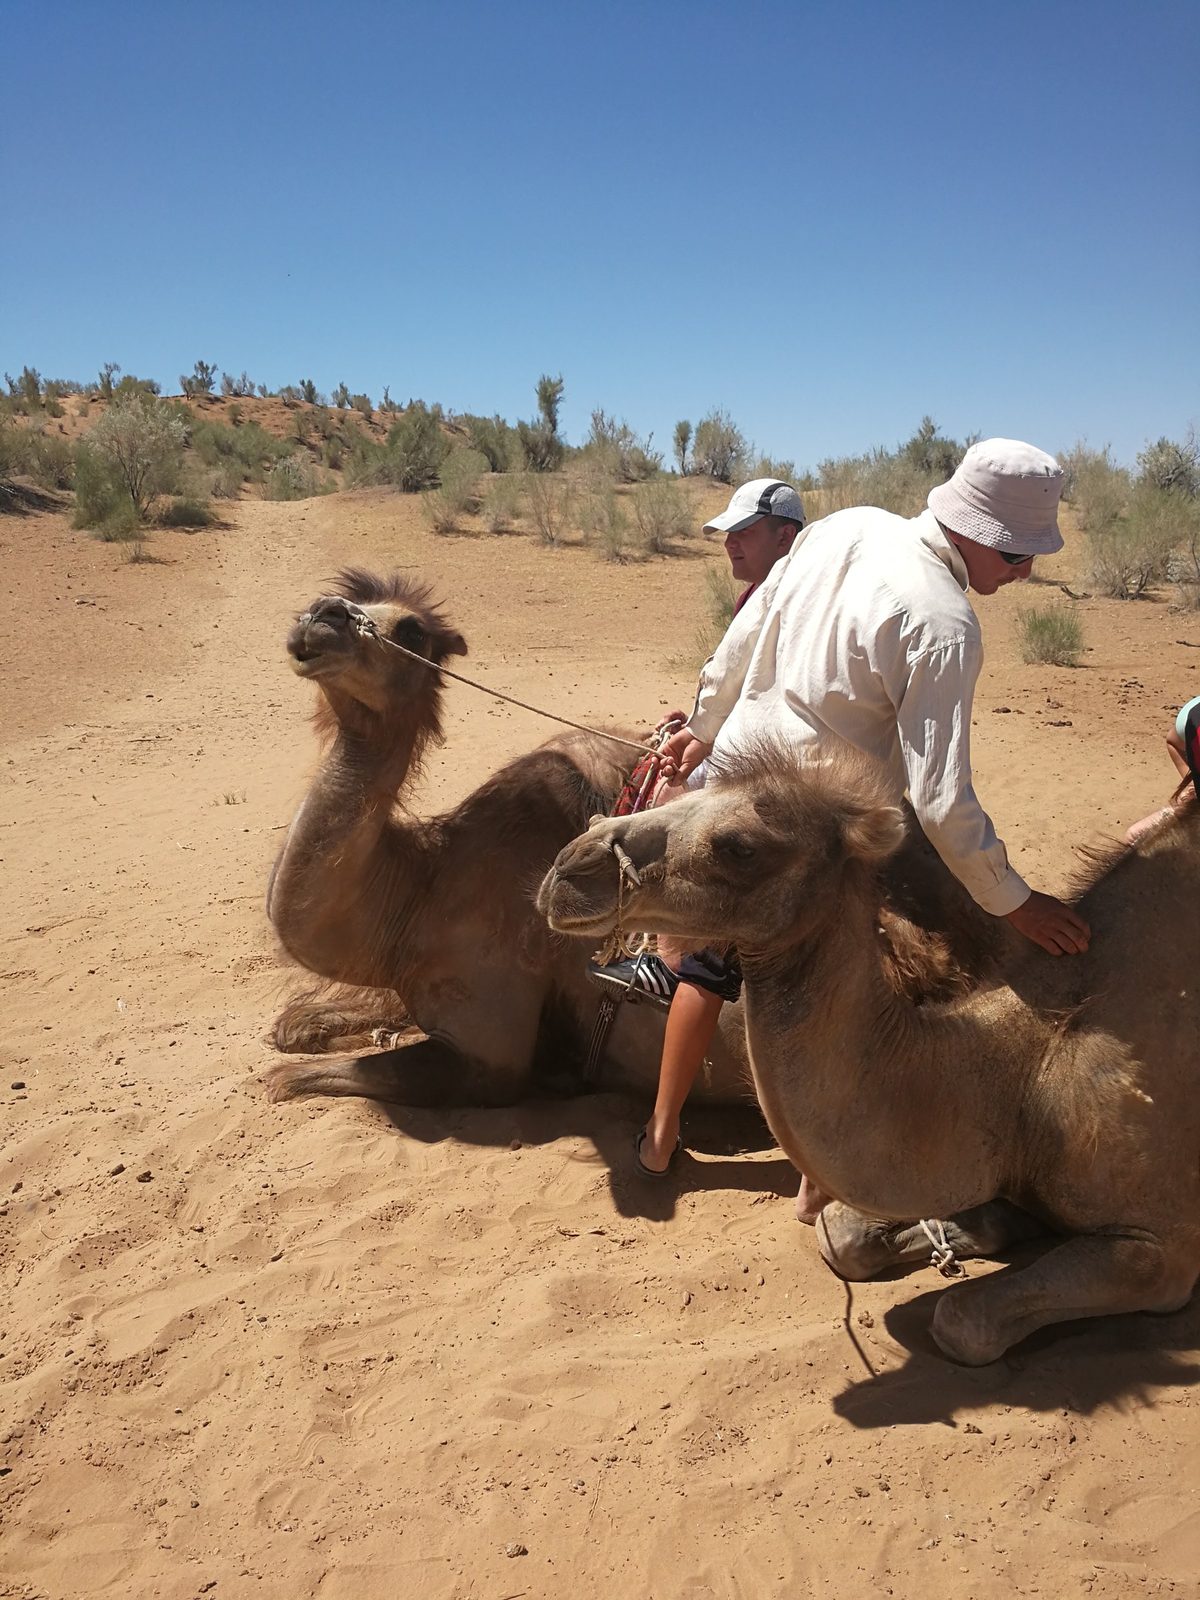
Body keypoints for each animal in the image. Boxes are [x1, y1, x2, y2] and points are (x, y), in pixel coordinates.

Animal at [265, 571, 1003, 1116]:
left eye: (411, 628)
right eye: (342, 596)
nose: (320, 617)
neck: (419, 892)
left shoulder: (490, 1053)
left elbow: (306, 1078)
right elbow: (310, 1024)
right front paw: (320, 1024)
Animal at [538, 740, 1200, 1364]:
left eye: (740, 846)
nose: (569, 867)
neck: (1021, 1076)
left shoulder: (1166, 1252)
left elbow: (963, 1321)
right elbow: (841, 1235)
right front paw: (984, 1228)